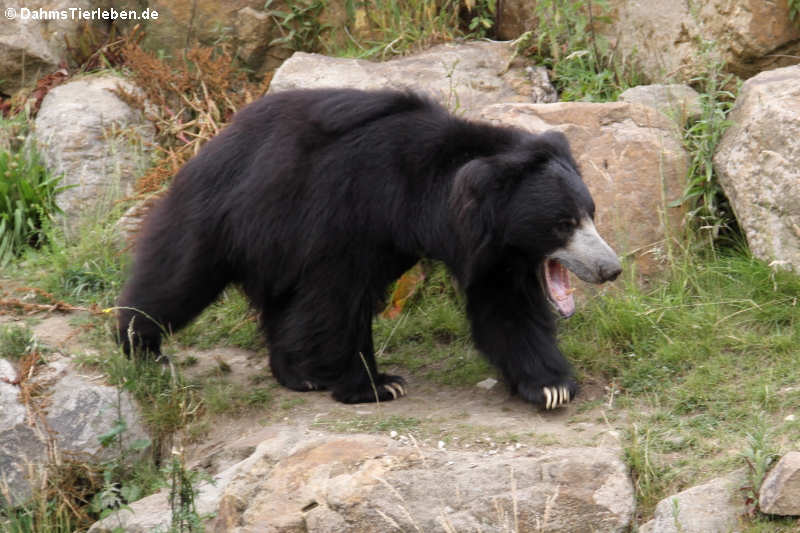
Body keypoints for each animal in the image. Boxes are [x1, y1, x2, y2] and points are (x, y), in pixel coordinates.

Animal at [119, 89, 620, 410]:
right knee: (178, 278)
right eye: (563, 224)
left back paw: (296, 374)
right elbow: (338, 302)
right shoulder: (349, 213)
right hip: (222, 214)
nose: (610, 268)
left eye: (590, 213)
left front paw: (551, 386)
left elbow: (507, 308)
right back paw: (142, 349)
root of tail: (213, 142)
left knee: (278, 302)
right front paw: (376, 387)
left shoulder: (494, 251)